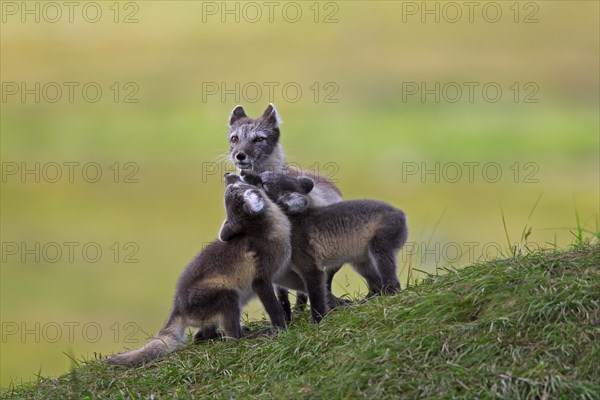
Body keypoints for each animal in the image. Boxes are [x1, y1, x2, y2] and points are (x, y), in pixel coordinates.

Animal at [108, 173, 290, 366]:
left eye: (233, 188)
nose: (227, 175)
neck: (266, 232)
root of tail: (178, 307)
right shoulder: (261, 279)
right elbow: (274, 308)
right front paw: (281, 328)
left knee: (201, 336)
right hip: (227, 296)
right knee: (233, 338)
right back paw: (250, 336)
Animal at [226, 104, 344, 314]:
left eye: (258, 139)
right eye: (234, 139)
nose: (239, 155)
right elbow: (280, 292)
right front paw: (286, 314)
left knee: (323, 283)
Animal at [243, 170, 408, 324]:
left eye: (263, 183)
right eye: (263, 174)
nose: (243, 172)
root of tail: (402, 214)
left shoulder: (312, 270)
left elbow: (317, 300)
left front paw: (316, 322)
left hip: (379, 251)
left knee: (393, 285)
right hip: (361, 264)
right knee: (376, 286)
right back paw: (363, 303)